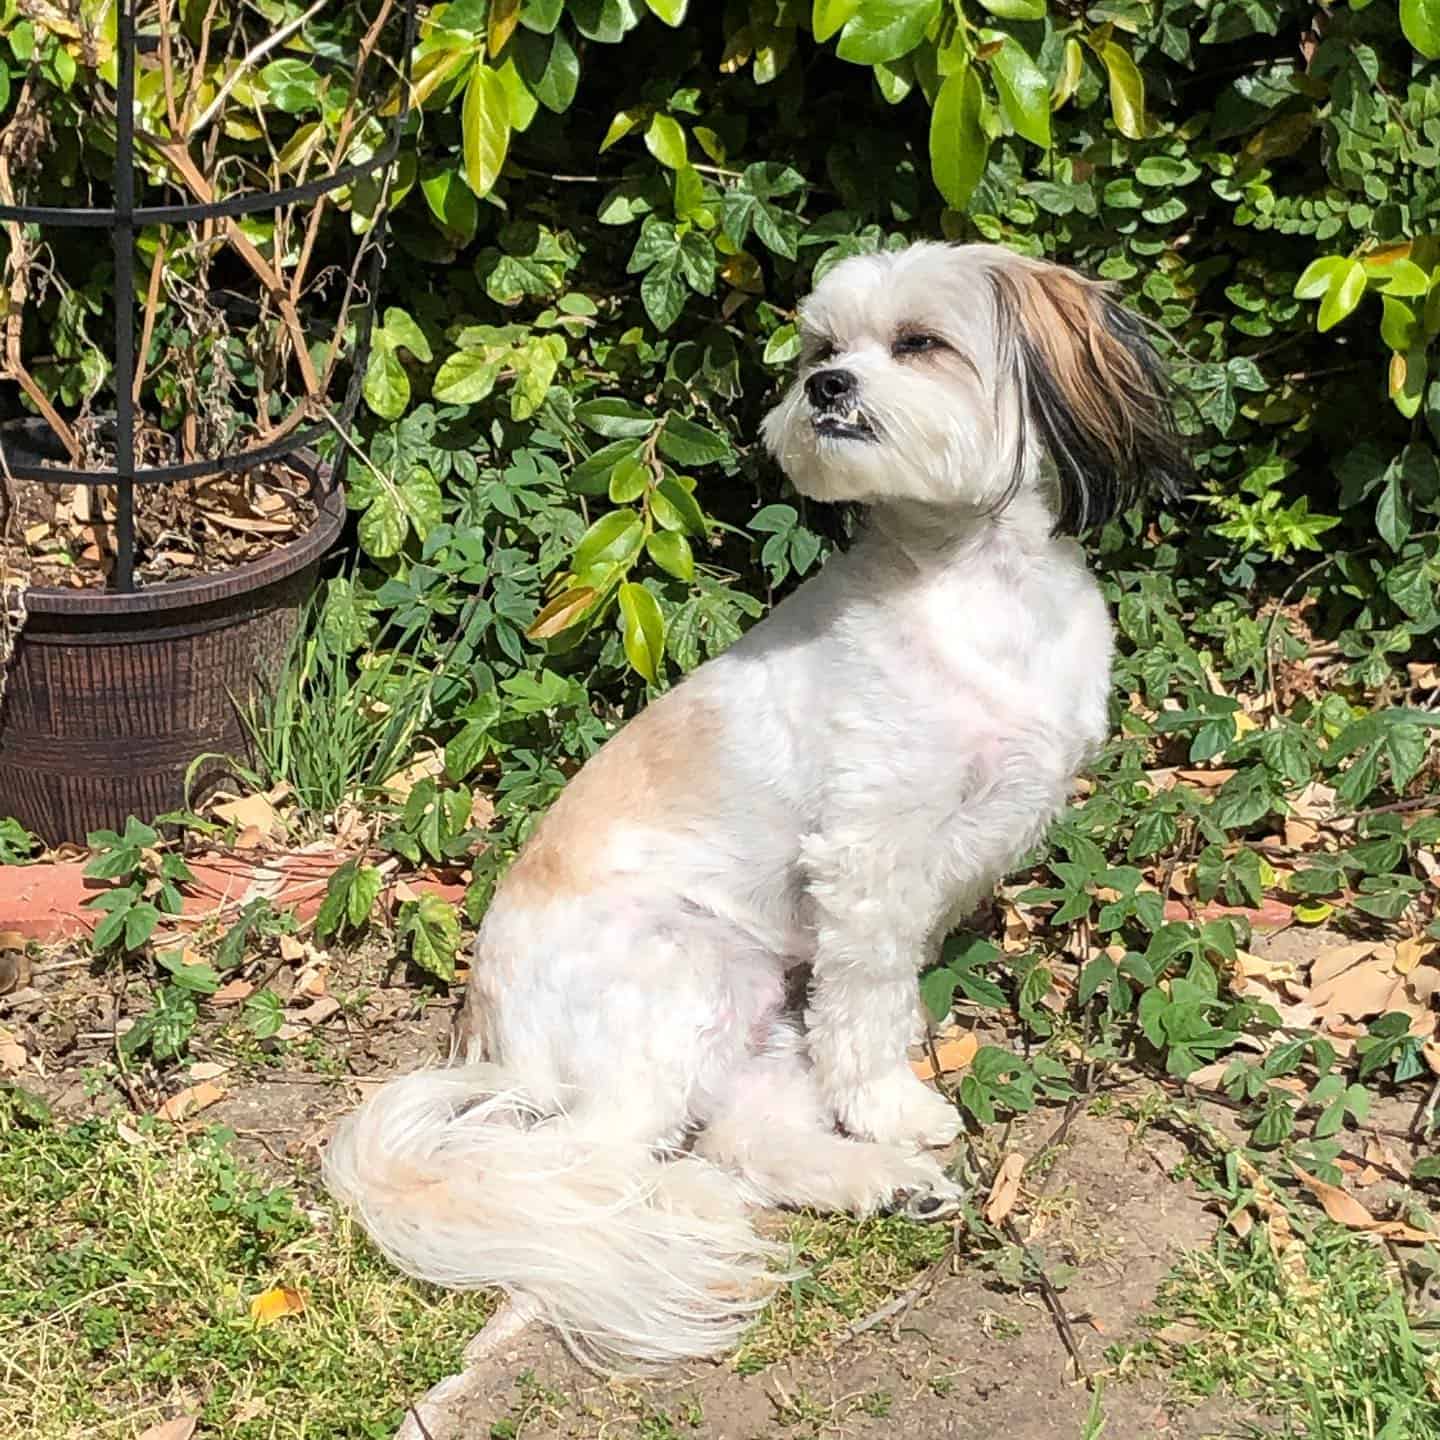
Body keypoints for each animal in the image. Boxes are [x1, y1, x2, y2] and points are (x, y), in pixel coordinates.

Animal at [321, 244, 1186, 1370]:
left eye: (918, 343)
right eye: (823, 350)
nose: (827, 388)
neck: (975, 586)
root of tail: (489, 1029)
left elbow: (876, 1000)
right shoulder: (868, 858)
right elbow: (868, 1012)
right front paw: (892, 1107)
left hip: (760, 1016)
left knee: (742, 1134)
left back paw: (873, 1187)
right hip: (675, 975)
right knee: (582, 1160)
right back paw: (689, 1199)